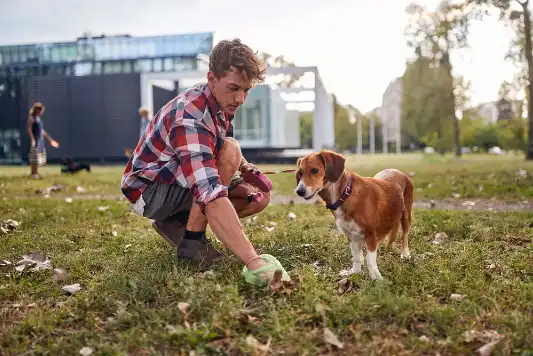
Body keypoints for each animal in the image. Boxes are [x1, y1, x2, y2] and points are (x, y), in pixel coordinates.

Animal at [296, 149, 412, 280]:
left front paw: (376, 278)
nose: (299, 191)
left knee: (405, 236)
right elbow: (356, 257)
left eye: (314, 170)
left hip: (406, 217)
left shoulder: (371, 236)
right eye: (299, 173)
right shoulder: (351, 236)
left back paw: (405, 254)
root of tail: (398, 171)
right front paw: (355, 272)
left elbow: (370, 261)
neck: (345, 195)